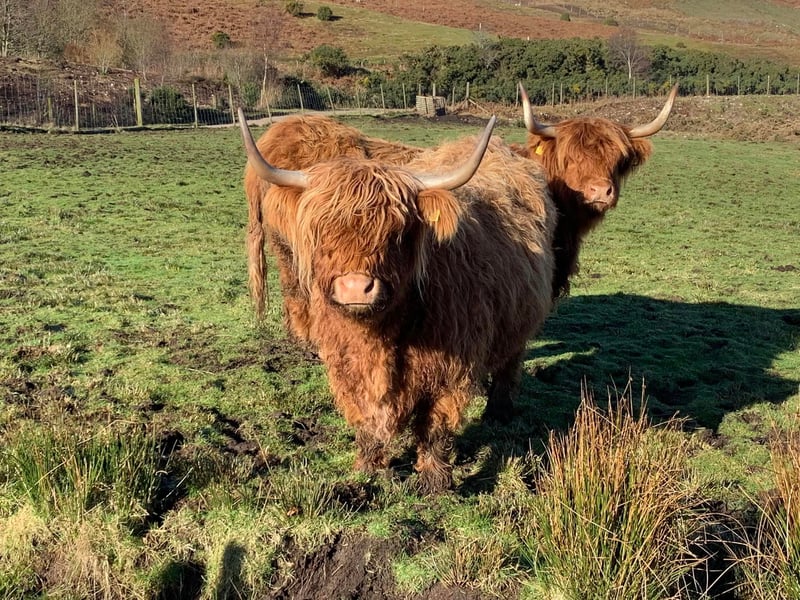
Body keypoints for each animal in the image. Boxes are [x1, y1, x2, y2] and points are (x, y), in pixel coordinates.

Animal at [239, 109, 556, 493]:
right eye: (321, 231)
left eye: (397, 232)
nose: (355, 287)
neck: (380, 336)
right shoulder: (346, 366)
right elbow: (365, 420)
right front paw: (367, 467)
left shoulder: (450, 371)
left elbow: (435, 426)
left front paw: (435, 480)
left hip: (521, 321)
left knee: (509, 364)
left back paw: (499, 412)